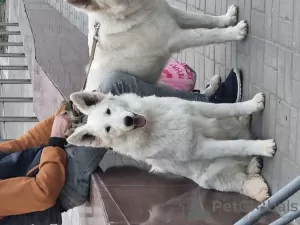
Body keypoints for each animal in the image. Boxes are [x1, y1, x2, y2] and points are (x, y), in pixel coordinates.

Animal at [63, 0, 248, 92]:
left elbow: (204, 18)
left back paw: (214, 86)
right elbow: (206, 34)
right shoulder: (175, 38)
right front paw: (235, 31)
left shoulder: (173, 14)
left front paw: (227, 18)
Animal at [67, 91, 276, 202]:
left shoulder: (196, 107)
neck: (152, 124)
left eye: (109, 111)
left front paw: (253, 105)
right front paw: (264, 147)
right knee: (241, 179)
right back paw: (257, 184)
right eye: (108, 129)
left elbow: (226, 107)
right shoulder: (199, 147)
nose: (128, 121)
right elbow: (237, 145)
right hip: (212, 177)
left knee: (237, 135)